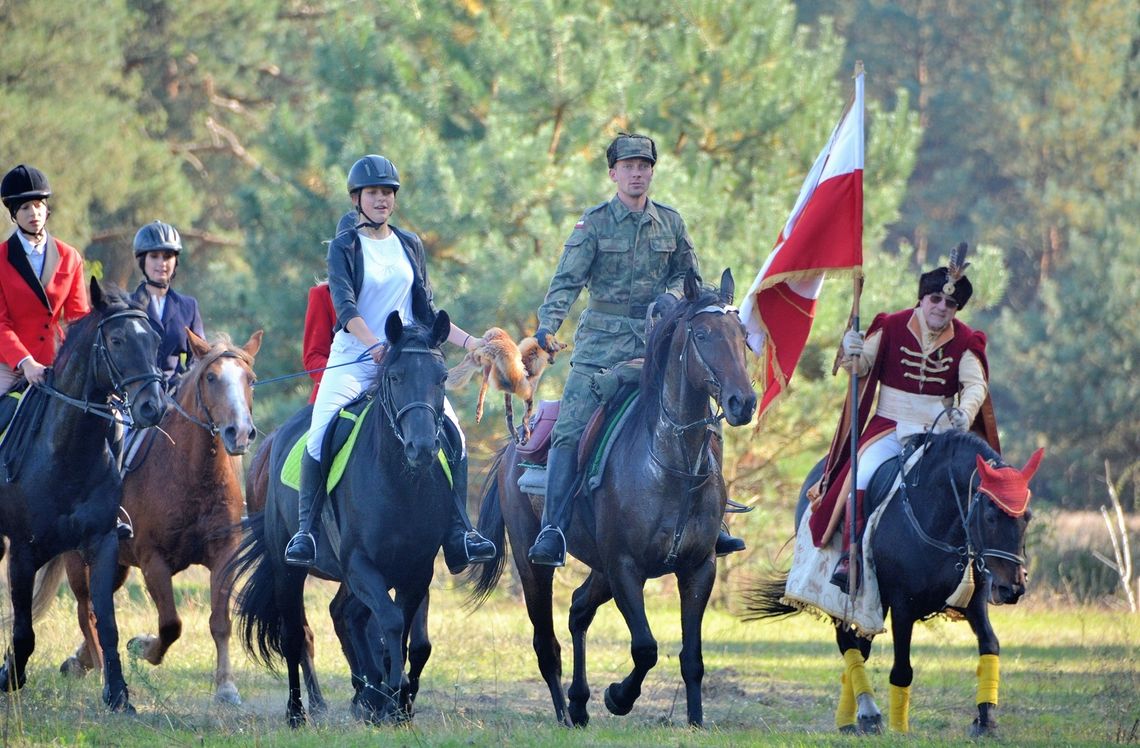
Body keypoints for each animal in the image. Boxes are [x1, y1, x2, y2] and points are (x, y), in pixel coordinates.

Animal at [0, 277, 165, 711]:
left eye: (155, 340)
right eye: (118, 339)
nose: (153, 406)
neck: (66, 452)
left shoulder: (102, 542)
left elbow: (106, 622)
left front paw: (119, 695)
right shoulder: (23, 550)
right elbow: (23, 627)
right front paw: (10, 676)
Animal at [57, 328, 261, 702]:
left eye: (250, 380)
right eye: (211, 378)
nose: (239, 433)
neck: (193, 476)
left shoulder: (223, 555)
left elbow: (219, 621)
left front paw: (226, 686)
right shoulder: (154, 562)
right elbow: (170, 625)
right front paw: (142, 647)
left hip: (116, 564)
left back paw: (81, 662)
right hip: (79, 561)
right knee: (86, 609)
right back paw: (101, 671)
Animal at [233, 310, 456, 725]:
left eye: (442, 377)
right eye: (395, 377)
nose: (421, 448)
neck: (400, 484)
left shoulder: (417, 570)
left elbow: (411, 639)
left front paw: (395, 701)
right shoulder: (360, 565)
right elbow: (390, 623)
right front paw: (390, 696)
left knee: (345, 613)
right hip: (288, 569)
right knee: (295, 634)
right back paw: (298, 712)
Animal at [467, 271, 752, 729]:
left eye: (743, 335)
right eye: (703, 334)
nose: (743, 402)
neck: (670, 464)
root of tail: (514, 446)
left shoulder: (698, 568)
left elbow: (692, 657)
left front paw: (694, 720)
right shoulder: (624, 568)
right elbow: (646, 648)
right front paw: (619, 697)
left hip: (599, 569)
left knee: (578, 610)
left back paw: (579, 703)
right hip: (533, 565)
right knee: (546, 643)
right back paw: (565, 713)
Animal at [747, 428, 1044, 738]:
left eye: (1027, 517)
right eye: (990, 517)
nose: (1012, 588)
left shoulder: (973, 603)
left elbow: (990, 645)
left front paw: (985, 721)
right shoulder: (903, 606)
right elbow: (902, 669)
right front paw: (900, 728)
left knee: (861, 648)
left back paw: (857, 715)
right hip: (844, 599)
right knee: (849, 644)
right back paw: (864, 714)